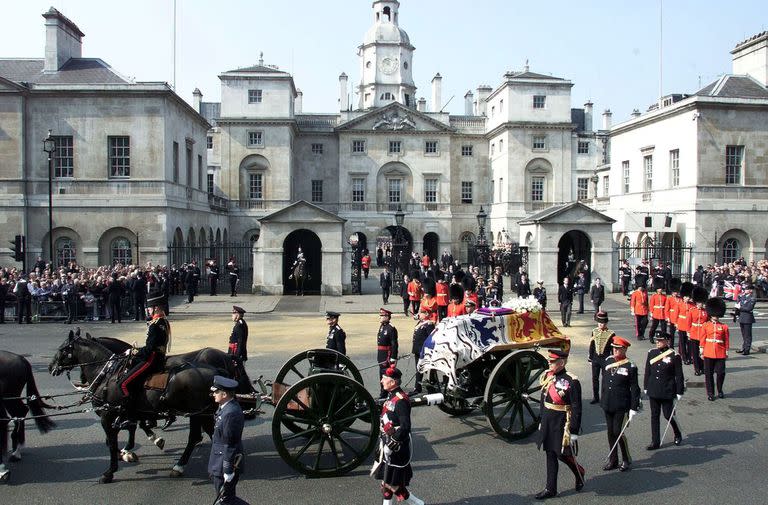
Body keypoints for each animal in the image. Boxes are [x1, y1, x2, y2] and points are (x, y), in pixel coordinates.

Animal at [47, 328, 249, 482]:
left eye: (63, 349)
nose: (50, 367)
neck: (108, 374)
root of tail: (218, 368)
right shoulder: (132, 411)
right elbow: (129, 430)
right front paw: (130, 450)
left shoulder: (109, 415)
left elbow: (113, 441)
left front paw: (112, 469)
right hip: (200, 413)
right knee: (207, 435)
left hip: (199, 413)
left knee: (199, 436)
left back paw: (181, 465)